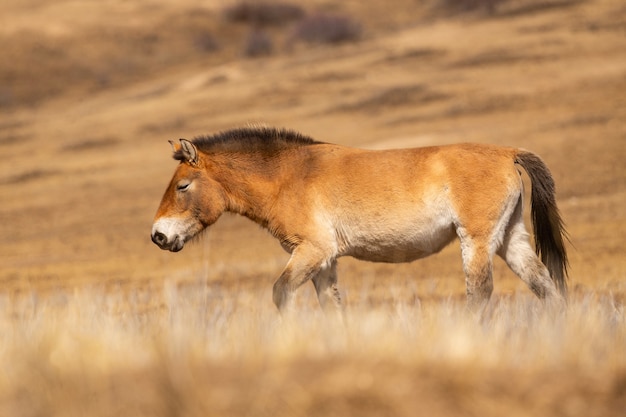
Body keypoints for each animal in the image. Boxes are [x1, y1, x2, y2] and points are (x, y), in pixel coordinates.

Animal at [150, 125, 564, 314]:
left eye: (183, 185)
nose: (158, 235)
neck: (290, 176)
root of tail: (508, 152)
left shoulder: (312, 251)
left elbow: (281, 293)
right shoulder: (324, 262)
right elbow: (332, 307)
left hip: (476, 242)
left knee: (480, 294)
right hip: (510, 240)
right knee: (546, 287)